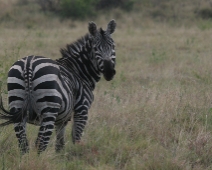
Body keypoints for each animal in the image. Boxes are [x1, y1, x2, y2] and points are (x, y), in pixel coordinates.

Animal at [0, 19, 116, 153]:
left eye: (113, 46)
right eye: (96, 48)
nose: (109, 72)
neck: (80, 72)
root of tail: (28, 64)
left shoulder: (62, 119)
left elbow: (60, 144)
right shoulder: (82, 109)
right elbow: (76, 139)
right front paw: (76, 155)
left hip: (17, 104)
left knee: (23, 144)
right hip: (49, 111)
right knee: (41, 143)